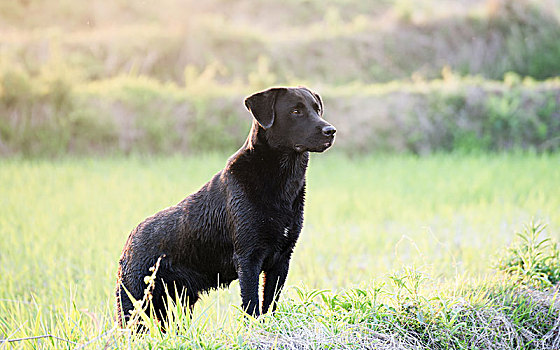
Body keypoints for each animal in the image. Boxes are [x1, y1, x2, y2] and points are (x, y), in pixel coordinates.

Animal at [117, 86, 336, 326]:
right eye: (296, 111)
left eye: (317, 109)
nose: (331, 131)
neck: (281, 182)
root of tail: (130, 240)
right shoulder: (248, 258)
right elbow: (251, 305)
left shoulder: (282, 259)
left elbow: (270, 305)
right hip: (134, 304)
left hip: (177, 304)